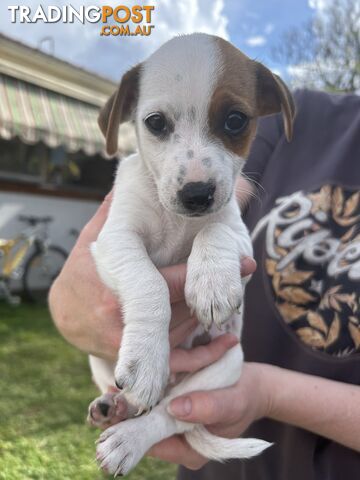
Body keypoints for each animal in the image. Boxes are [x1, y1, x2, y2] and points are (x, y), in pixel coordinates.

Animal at [88, 32, 296, 476]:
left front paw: (212, 284)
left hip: (224, 368)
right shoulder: (114, 239)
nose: (197, 194)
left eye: (235, 120)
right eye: (155, 123)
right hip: (97, 358)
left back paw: (128, 438)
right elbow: (149, 282)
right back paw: (114, 405)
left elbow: (215, 230)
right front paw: (147, 361)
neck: (177, 221)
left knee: (169, 413)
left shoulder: (239, 235)